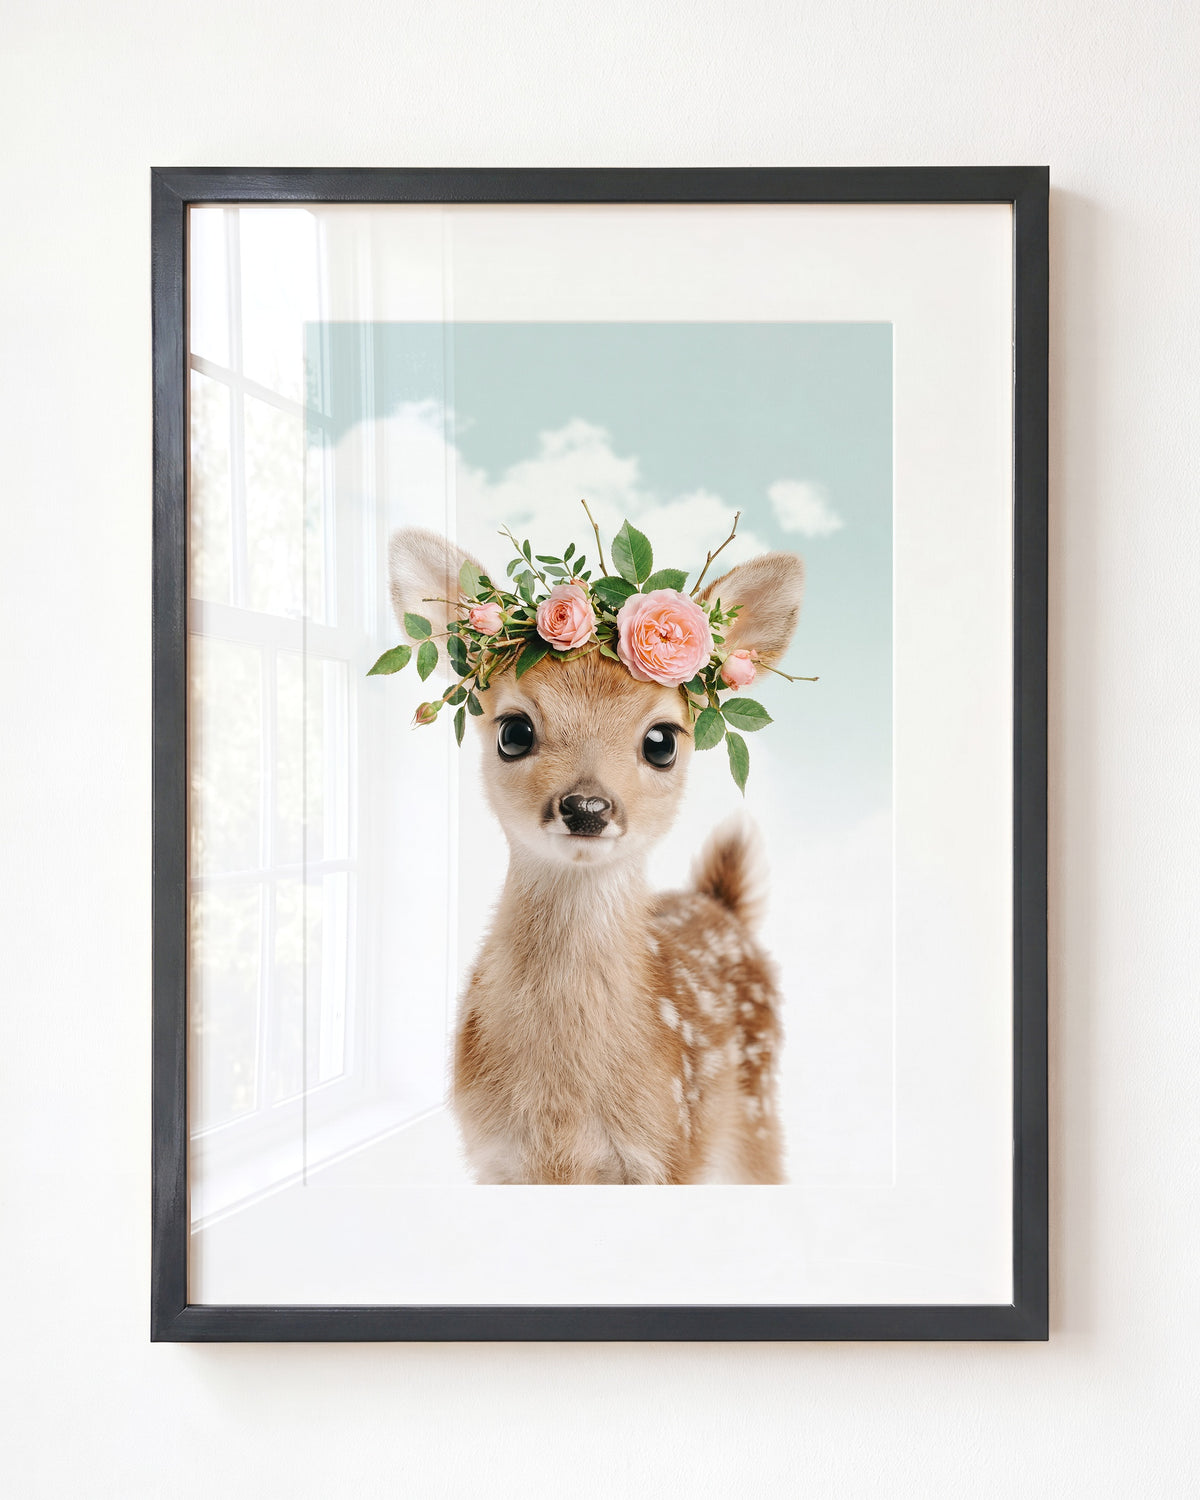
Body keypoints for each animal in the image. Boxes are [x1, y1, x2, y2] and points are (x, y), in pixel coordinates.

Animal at [388, 526, 805, 1184]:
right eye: (513, 731)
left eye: (662, 741)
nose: (586, 806)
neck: (563, 1114)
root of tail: (722, 906)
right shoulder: (495, 1158)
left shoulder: (668, 1150)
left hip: (755, 1113)